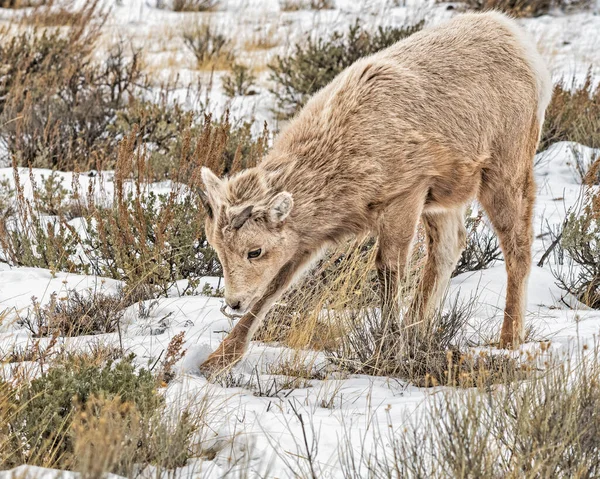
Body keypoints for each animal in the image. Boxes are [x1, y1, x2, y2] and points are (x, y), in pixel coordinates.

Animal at [199, 11, 552, 376]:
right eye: (218, 249)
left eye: (254, 251)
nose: (234, 302)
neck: (342, 160)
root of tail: (517, 39)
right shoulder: (307, 239)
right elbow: (274, 287)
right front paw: (217, 360)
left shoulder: (405, 196)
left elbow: (388, 271)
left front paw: (389, 349)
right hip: (444, 198)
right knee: (450, 247)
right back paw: (418, 329)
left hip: (506, 170)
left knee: (517, 247)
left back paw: (509, 340)